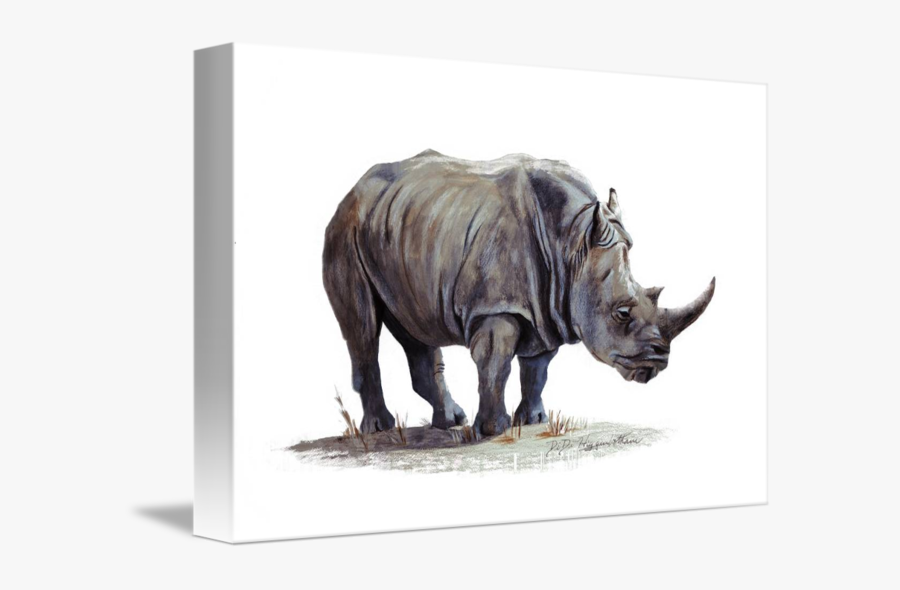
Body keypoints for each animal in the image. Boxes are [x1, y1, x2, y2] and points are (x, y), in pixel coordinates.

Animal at [323, 150, 715, 436]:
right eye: (622, 313)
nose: (657, 363)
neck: (573, 244)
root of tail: (352, 190)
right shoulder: (496, 306)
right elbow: (496, 363)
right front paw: (492, 430)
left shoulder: (549, 306)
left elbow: (537, 369)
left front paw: (533, 421)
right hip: (346, 231)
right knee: (363, 329)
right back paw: (379, 429)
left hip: (403, 231)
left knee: (414, 327)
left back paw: (450, 422)